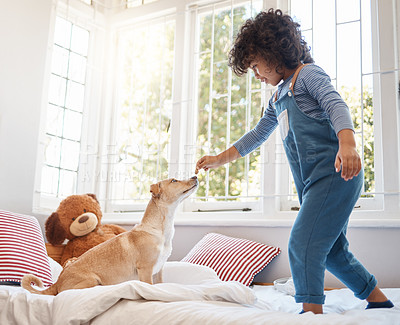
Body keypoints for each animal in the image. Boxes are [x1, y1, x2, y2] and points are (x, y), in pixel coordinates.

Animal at [21, 176, 197, 294]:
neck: (160, 229)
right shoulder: (146, 271)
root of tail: (57, 283)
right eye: (174, 180)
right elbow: (150, 286)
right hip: (91, 280)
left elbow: (161, 284)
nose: (195, 176)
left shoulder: (158, 271)